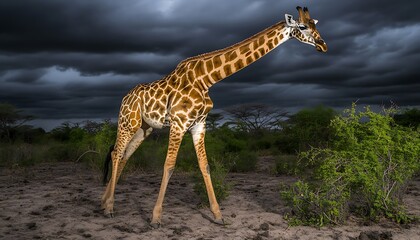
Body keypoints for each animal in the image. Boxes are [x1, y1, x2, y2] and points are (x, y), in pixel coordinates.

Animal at [101, 5, 328, 227]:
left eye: (314, 25)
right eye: (302, 26)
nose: (323, 45)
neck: (206, 79)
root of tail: (125, 97)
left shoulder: (199, 125)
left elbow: (205, 166)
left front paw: (218, 215)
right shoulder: (179, 123)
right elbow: (169, 166)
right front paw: (155, 218)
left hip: (144, 127)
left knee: (124, 155)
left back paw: (103, 203)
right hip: (128, 122)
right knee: (116, 153)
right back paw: (109, 207)